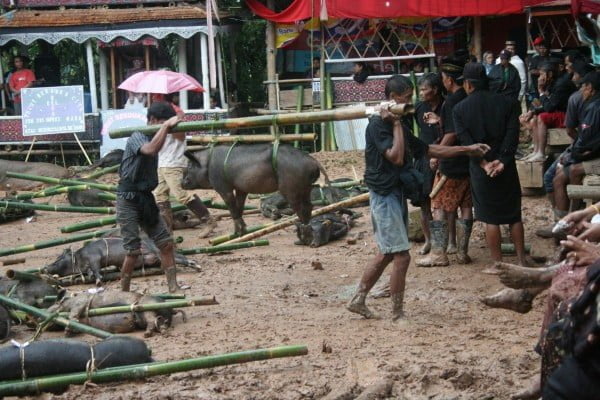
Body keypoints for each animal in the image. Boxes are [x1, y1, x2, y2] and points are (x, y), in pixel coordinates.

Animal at [48, 290, 178, 336]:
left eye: (49, 308)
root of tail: (171, 309)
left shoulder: (80, 301)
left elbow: (74, 313)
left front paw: (66, 332)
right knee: (157, 321)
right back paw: (162, 330)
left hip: (146, 305)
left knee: (151, 319)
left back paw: (147, 334)